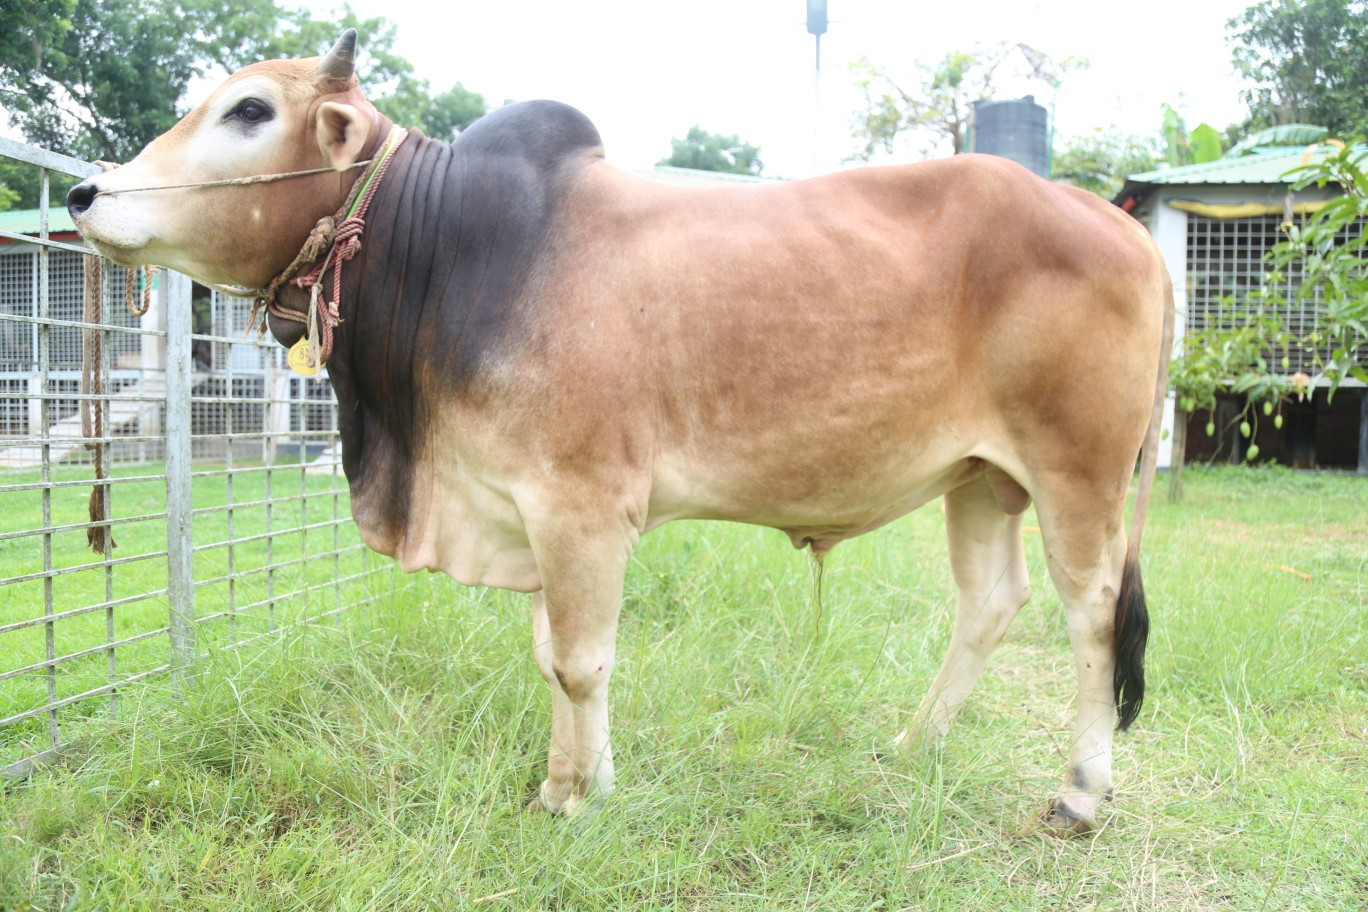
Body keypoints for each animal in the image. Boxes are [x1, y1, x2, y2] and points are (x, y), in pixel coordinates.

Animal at [66, 30, 1173, 833]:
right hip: (981, 478)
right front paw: (568, 780)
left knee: (1091, 616)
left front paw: (579, 798)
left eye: (250, 110)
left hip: (1077, 472)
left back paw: (1080, 793)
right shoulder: (527, 509)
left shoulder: (581, 506)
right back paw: (915, 745)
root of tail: (1117, 223)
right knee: (991, 604)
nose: (84, 192)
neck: (451, 251)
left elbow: (581, 661)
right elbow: (550, 653)